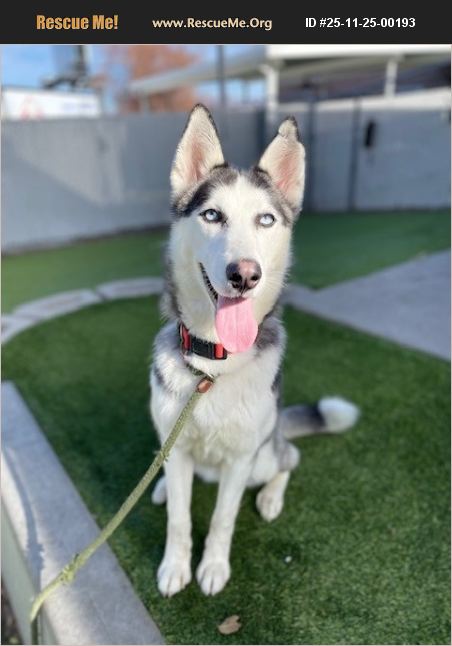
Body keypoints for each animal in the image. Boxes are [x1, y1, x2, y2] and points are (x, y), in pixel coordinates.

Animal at [150, 104, 359, 597]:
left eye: (266, 220)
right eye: (212, 215)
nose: (245, 274)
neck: (213, 364)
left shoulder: (242, 458)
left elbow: (222, 519)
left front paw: (212, 568)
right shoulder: (179, 449)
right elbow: (179, 520)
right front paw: (175, 566)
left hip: (264, 455)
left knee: (289, 459)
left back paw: (269, 497)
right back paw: (163, 485)